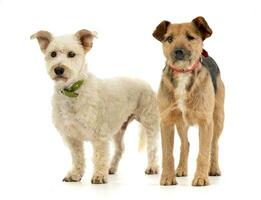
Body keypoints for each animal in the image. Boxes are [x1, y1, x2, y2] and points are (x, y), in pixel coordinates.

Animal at [31, 29, 159, 184]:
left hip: (149, 121)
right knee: (120, 148)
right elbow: (77, 157)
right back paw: (111, 168)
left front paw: (98, 175)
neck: (73, 92)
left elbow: (99, 155)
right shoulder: (72, 136)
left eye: (71, 54)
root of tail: (145, 82)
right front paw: (75, 174)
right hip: (118, 128)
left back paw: (152, 167)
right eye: (53, 54)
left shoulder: (100, 135)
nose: (59, 69)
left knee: (152, 147)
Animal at [152, 16, 223, 187]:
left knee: (214, 145)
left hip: (218, 119)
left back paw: (214, 169)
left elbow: (203, 153)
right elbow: (167, 153)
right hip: (181, 124)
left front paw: (201, 178)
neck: (183, 73)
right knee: (186, 144)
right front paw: (167, 177)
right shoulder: (166, 121)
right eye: (169, 39)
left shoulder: (206, 122)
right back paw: (181, 169)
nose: (178, 52)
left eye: (190, 37)